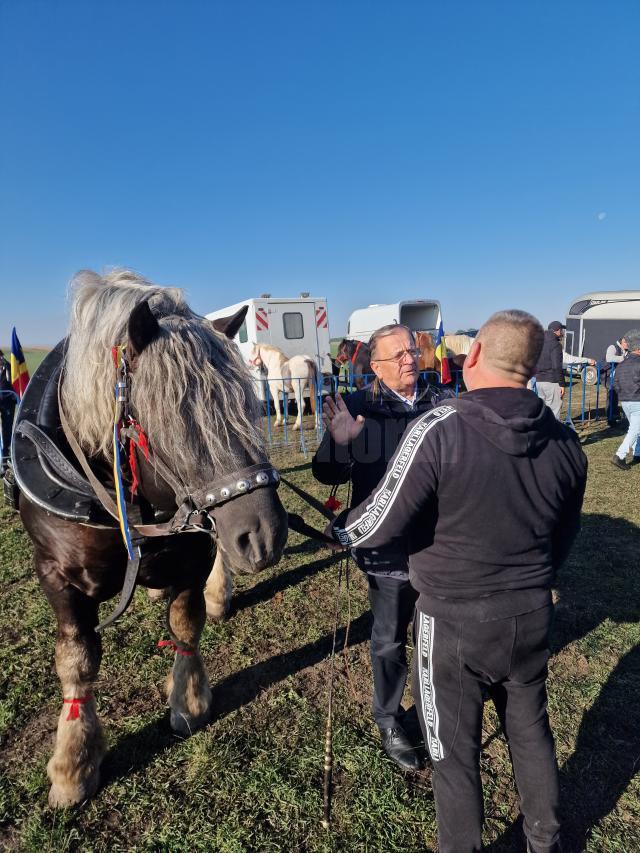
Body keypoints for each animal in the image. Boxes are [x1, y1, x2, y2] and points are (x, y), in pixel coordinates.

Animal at [14, 272, 288, 804]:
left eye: (247, 405)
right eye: (174, 415)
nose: (265, 536)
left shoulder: (194, 552)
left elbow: (185, 623)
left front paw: (189, 700)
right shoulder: (56, 575)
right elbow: (77, 660)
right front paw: (74, 764)